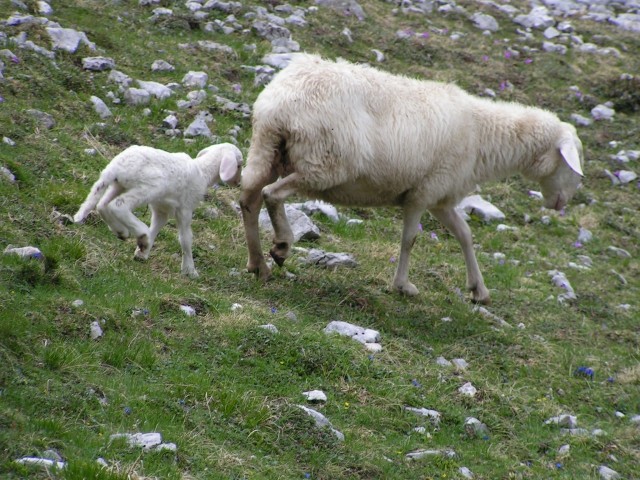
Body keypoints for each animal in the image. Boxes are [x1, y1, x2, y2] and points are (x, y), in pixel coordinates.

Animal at [74, 142, 242, 278]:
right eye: (239, 165)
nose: (239, 183)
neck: (204, 171)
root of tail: (116, 167)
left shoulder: (161, 209)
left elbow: (156, 227)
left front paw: (142, 253)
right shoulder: (185, 208)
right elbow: (185, 239)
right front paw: (190, 270)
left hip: (119, 186)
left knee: (102, 205)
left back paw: (123, 232)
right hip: (148, 187)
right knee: (118, 205)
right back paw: (141, 233)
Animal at [240, 54, 584, 306]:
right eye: (572, 163)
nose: (562, 203)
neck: (482, 135)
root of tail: (280, 104)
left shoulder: (440, 198)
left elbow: (465, 235)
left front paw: (478, 289)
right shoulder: (422, 193)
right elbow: (410, 240)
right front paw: (402, 285)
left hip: (266, 149)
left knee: (249, 200)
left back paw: (258, 265)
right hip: (322, 164)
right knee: (271, 194)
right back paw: (281, 246)